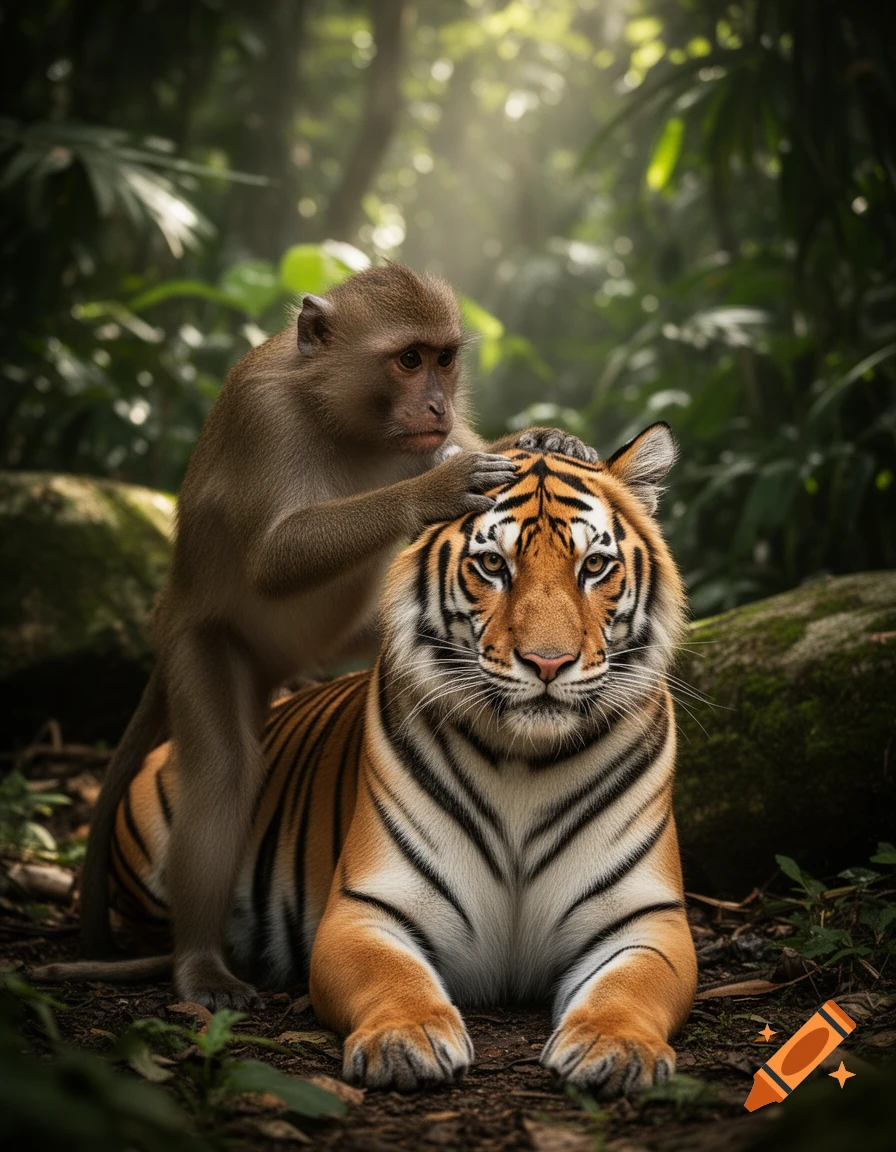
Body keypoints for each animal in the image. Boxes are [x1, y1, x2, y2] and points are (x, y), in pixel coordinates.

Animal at [47, 422, 697, 1097]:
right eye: (493, 565)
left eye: (594, 566)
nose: (548, 663)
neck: (524, 762)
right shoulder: (366, 909)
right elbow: (393, 977)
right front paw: (406, 1039)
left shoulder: (646, 920)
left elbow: (629, 988)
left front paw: (614, 1047)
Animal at [78, 263, 597, 1011]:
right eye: (408, 359)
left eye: (444, 358)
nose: (436, 405)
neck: (336, 412)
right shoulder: (263, 412)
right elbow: (271, 558)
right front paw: (434, 489)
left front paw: (549, 440)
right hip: (201, 640)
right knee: (223, 770)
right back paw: (201, 964)